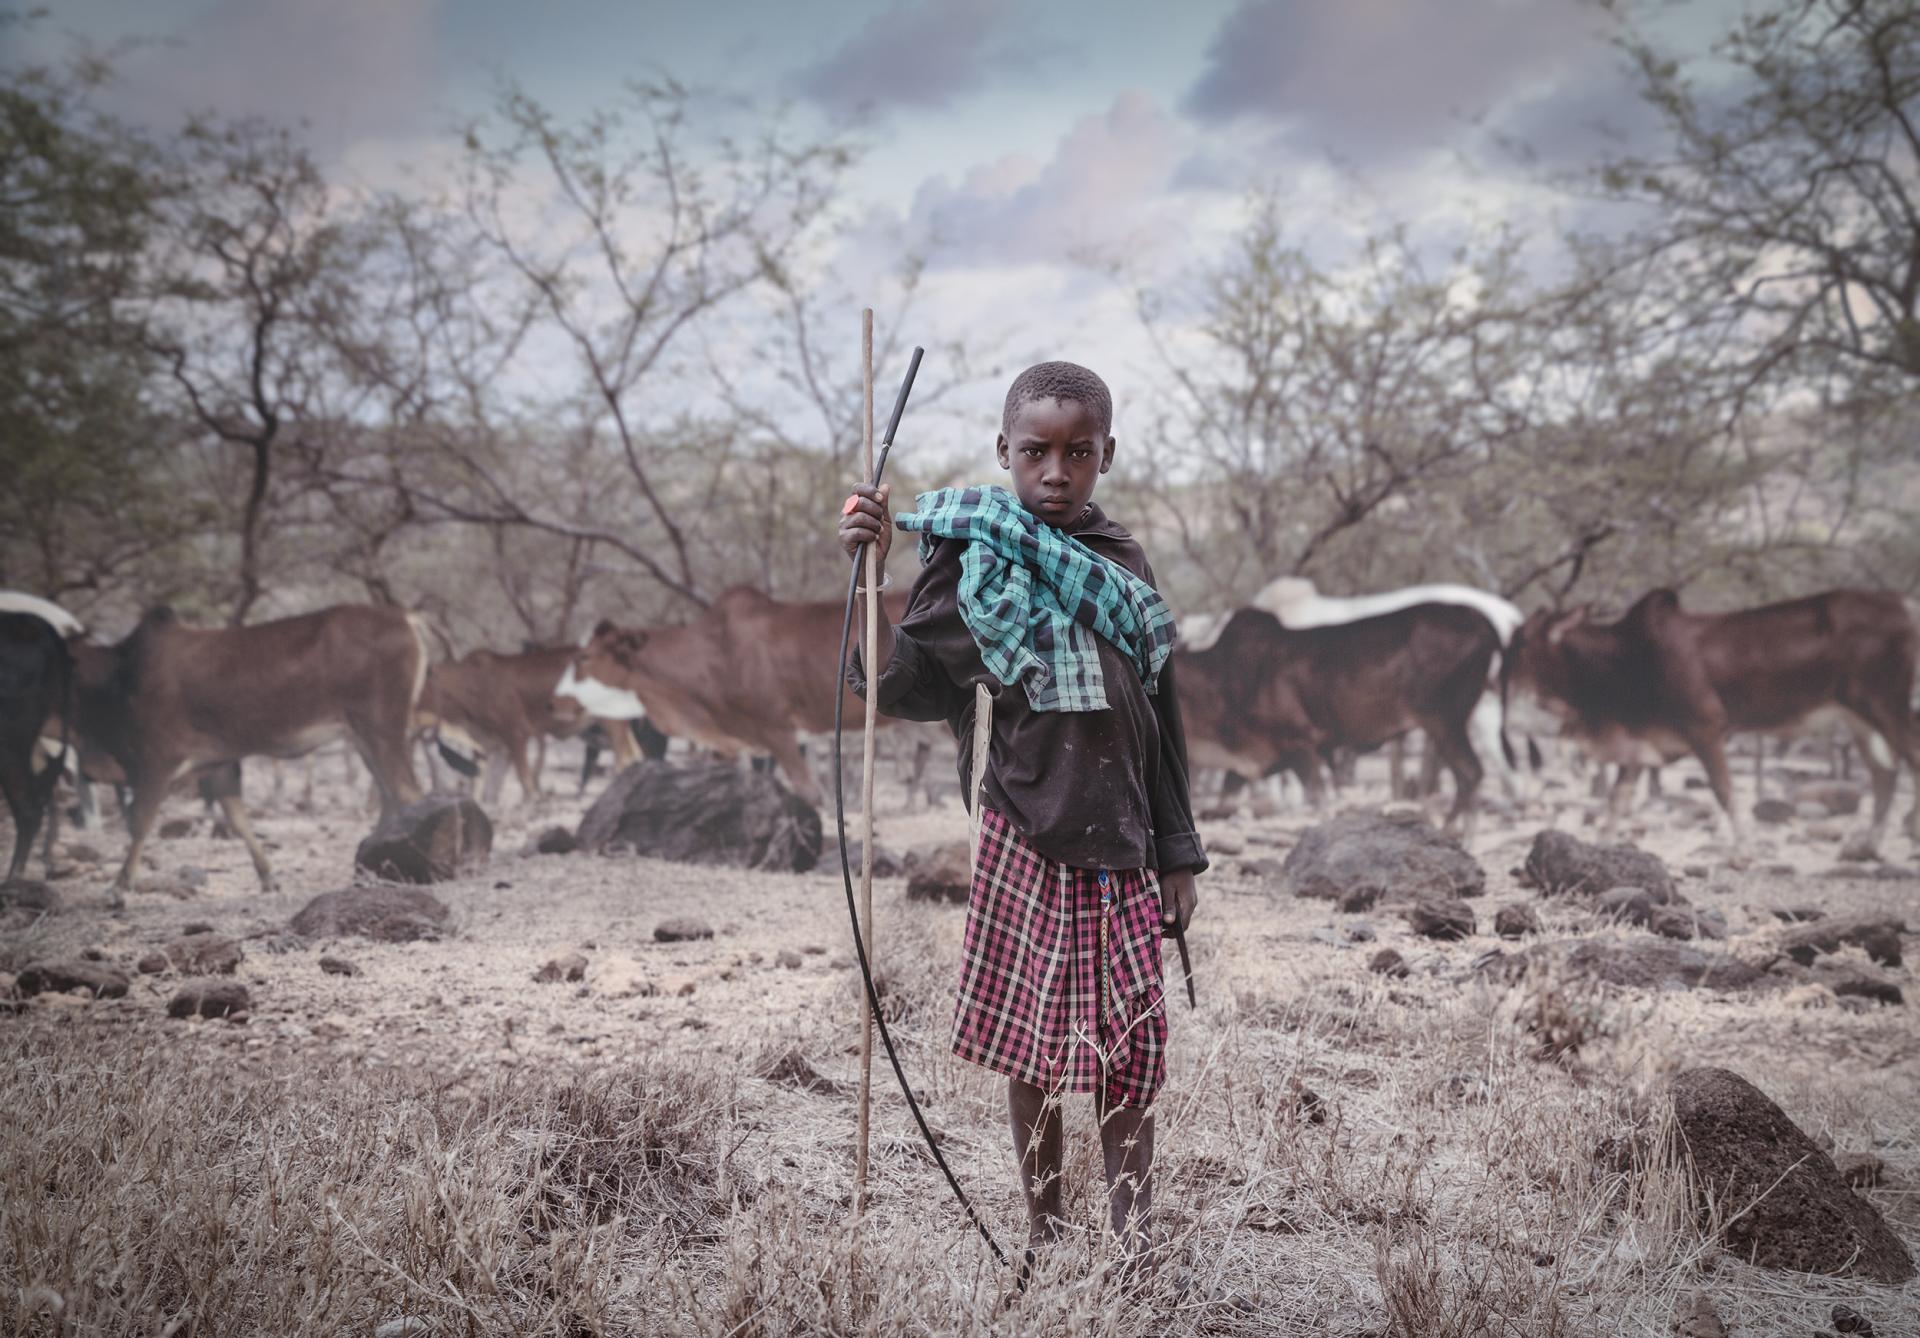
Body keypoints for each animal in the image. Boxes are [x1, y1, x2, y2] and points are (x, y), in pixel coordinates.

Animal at [69, 606, 433, 909]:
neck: (117, 676)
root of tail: (405, 619)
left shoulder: (156, 762)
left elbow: (140, 821)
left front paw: (117, 888)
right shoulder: (218, 765)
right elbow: (237, 817)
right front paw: (269, 878)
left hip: (381, 731)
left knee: (409, 795)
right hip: (364, 739)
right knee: (390, 798)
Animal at [1167, 598, 1497, 829]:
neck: (1224, 679)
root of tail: (1484, 624)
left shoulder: (1302, 745)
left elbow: (1318, 799)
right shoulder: (1246, 764)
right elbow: (1227, 797)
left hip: (1442, 720)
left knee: (1470, 773)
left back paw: (1453, 832)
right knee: (1470, 776)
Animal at [1505, 587, 1912, 856]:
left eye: (1523, 641)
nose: (1502, 678)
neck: (1624, 660)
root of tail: (1905, 605)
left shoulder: (1706, 729)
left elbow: (1724, 790)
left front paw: (1745, 849)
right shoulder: (1638, 747)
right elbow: (1617, 801)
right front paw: (1600, 847)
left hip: (1887, 707)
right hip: (1860, 720)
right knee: (1885, 775)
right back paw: (1868, 846)